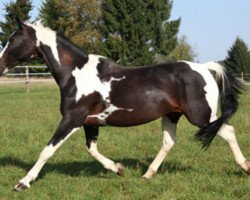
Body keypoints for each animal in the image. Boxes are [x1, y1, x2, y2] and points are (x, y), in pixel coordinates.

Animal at [0, 18, 249, 192]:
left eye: (12, 40)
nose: (0, 65)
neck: (76, 73)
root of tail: (205, 68)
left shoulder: (71, 120)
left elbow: (47, 150)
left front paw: (23, 183)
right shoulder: (90, 122)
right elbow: (92, 150)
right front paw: (118, 169)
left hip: (200, 117)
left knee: (228, 131)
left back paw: (245, 167)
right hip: (172, 115)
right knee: (169, 142)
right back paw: (147, 175)